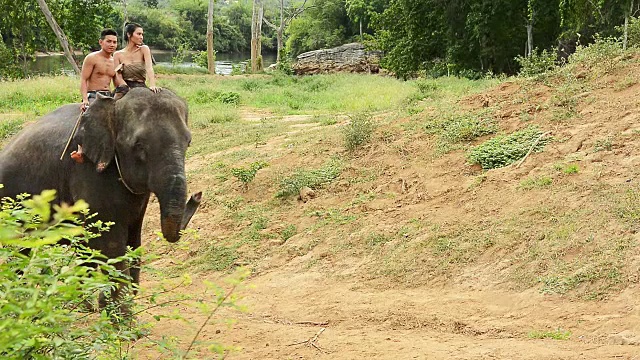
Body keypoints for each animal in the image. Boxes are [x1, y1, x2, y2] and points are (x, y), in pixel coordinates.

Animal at [0, 88, 200, 312]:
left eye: (188, 142)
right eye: (139, 145)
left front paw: (111, 305)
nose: (196, 195)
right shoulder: (88, 172)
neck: (113, 106)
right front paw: (121, 315)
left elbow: (133, 239)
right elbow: (110, 244)